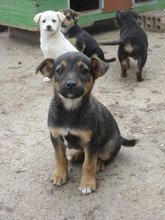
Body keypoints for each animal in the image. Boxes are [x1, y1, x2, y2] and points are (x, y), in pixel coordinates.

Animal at [35, 51, 137, 194]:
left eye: (84, 71)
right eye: (59, 70)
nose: (71, 84)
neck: (70, 111)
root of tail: (120, 137)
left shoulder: (92, 140)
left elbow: (88, 164)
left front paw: (88, 183)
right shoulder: (55, 137)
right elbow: (60, 158)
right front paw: (60, 175)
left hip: (109, 147)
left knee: (103, 157)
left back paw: (99, 163)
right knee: (83, 151)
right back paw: (76, 155)